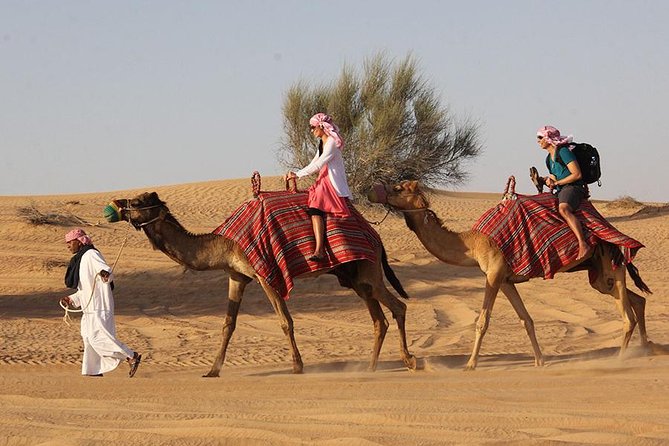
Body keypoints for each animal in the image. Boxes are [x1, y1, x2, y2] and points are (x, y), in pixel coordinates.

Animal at [107, 192, 414, 376]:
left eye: (137, 203)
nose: (116, 204)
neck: (224, 243)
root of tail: (375, 236)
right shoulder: (237, 276)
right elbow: (228, 324)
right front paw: (212, 370)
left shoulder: (265, 274)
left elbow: (285, 321)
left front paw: (297, 366)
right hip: (354, 277)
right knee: (379, 319)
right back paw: (370, 367)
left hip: (368, 270)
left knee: (398, 307)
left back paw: (409, 361)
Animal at [368, 180, 648, 370]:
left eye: (398, 188)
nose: (373, 190)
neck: (473, 242)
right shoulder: (504, 279)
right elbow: (527, 320)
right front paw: (539, 360)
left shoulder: (493, 274)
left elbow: (482, 321)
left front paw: (470, 364)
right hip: (600, 275)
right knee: (637, 300)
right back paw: (647, 348)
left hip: (613, 264)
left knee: (627, 316)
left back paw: (620, 359)